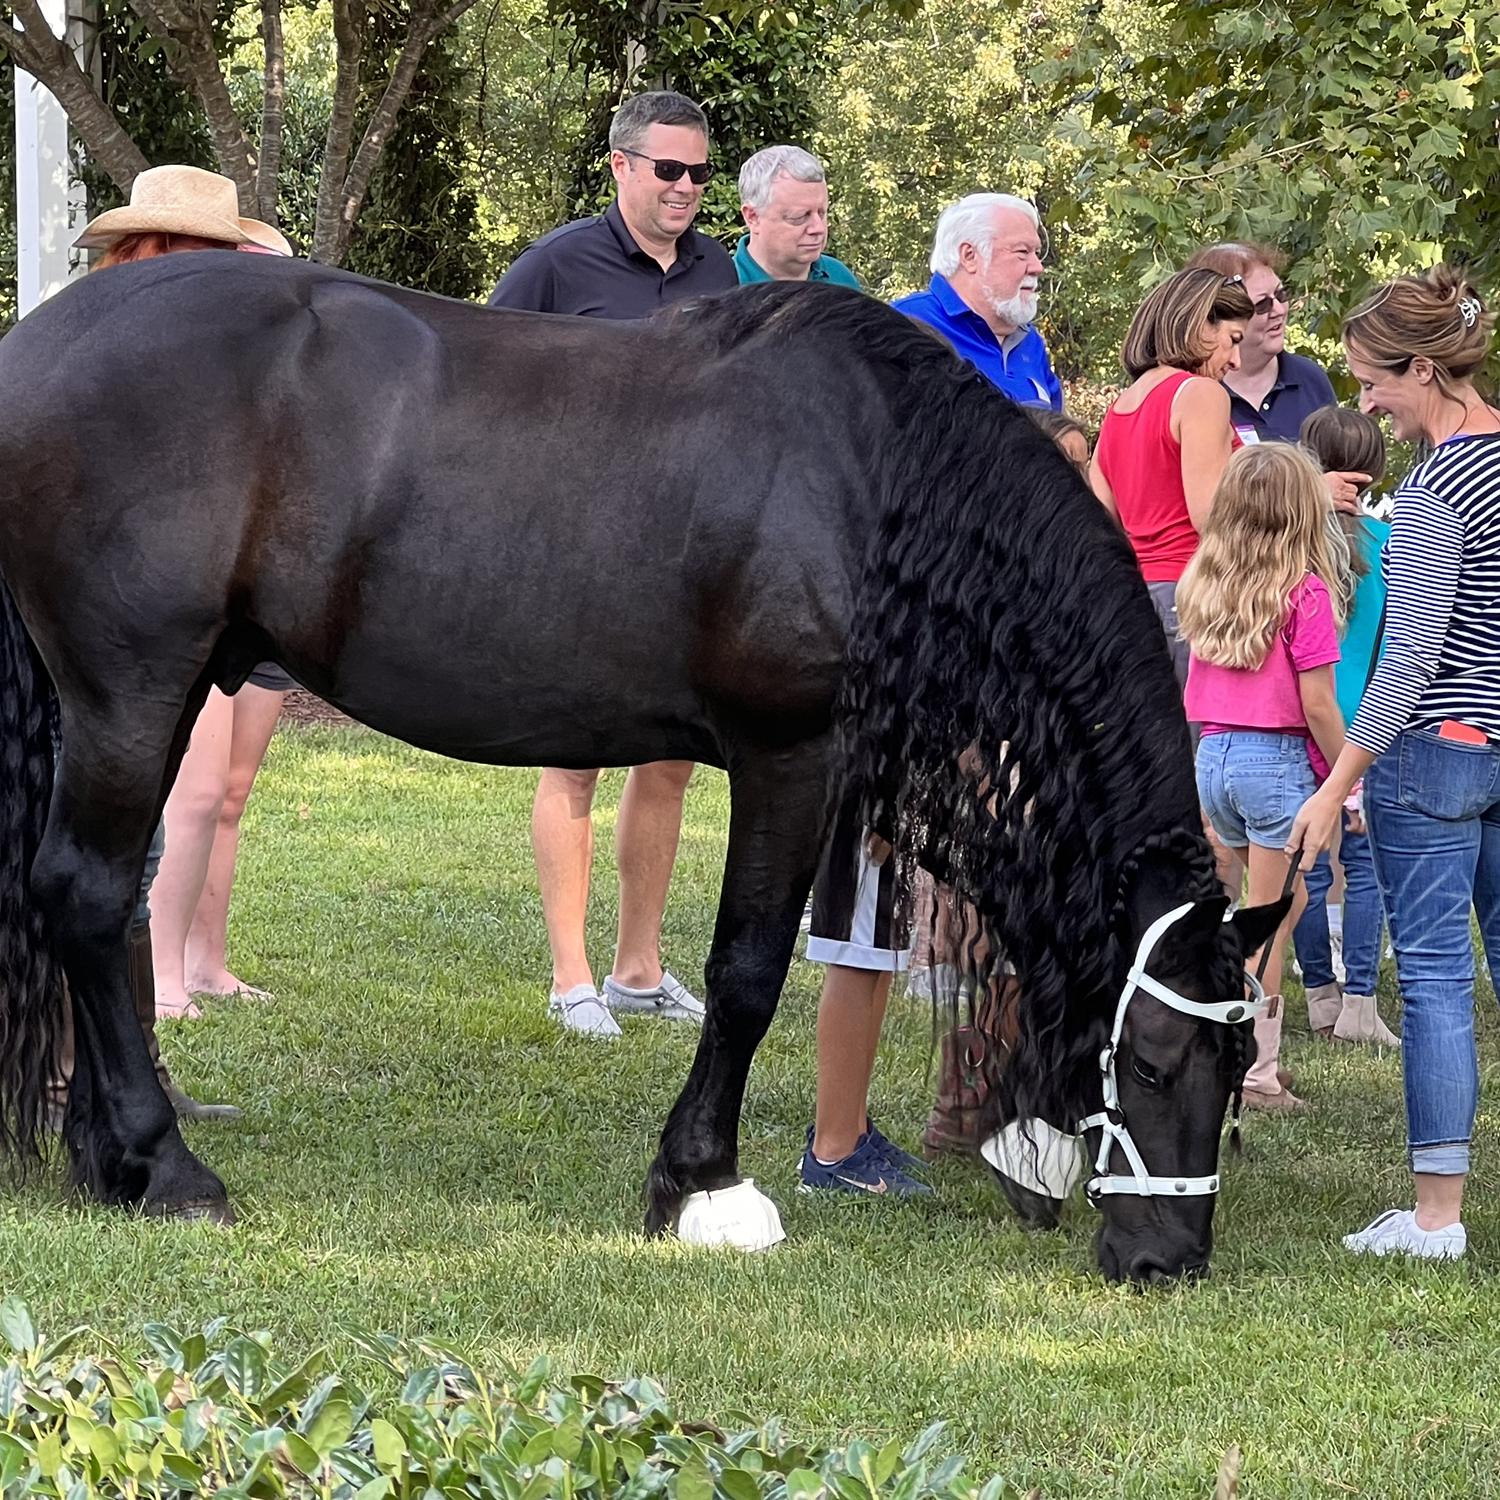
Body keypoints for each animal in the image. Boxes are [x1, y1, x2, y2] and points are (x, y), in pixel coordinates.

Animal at [0, 255, 1290, 1278]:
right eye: (1158, 1065)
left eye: (1236, 1071)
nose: (1168, 1261)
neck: (882, 485)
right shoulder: (788, 756)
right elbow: (749, 971)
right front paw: (702, 1182)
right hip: (133, 690)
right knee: (92, 894)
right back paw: (167, 1168)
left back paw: (109, 1157)